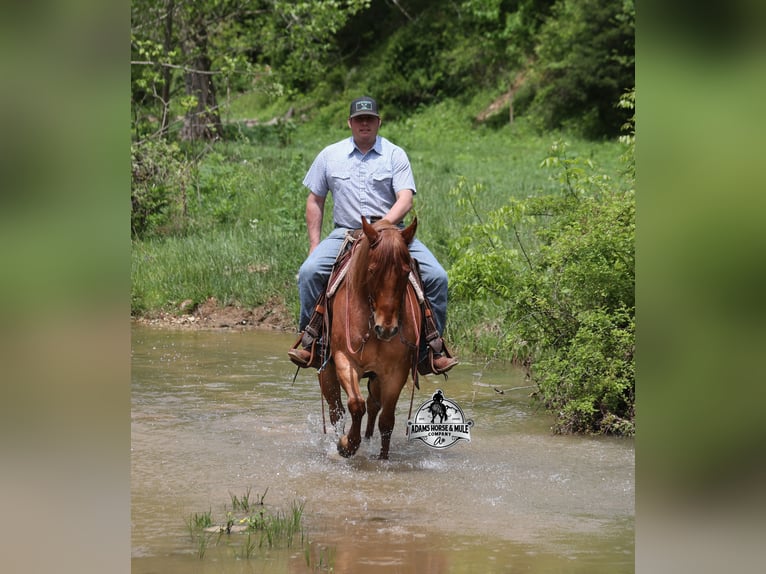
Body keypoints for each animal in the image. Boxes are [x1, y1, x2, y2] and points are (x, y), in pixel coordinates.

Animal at [318, 217, 421, 460]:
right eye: (373, 271)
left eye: (406, 271)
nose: (387, 329)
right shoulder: (345, 360)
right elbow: (356, 405)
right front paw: (346, 445)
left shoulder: (396, 371)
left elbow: (387, 420)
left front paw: (383, 459)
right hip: (327, 371)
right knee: (336, 410)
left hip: (377, 376)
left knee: (374, 405)